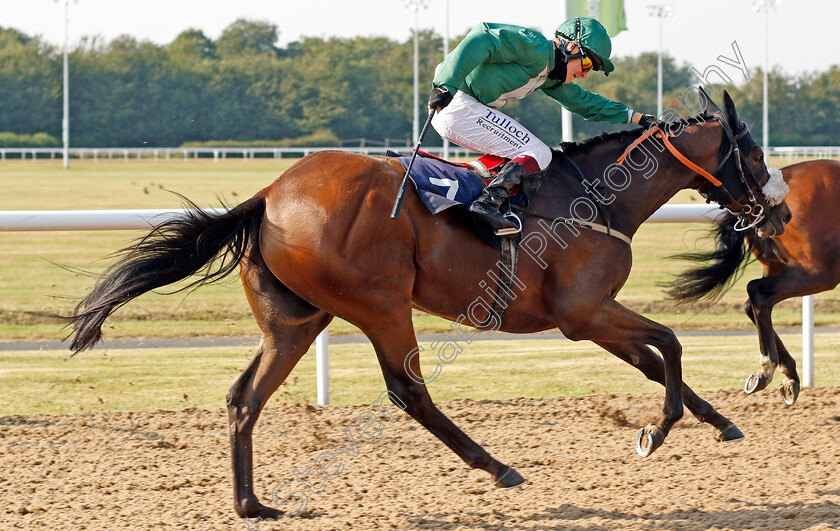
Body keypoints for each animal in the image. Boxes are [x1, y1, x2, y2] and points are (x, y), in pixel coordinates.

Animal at [70, 88, 788, 520]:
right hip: (382, 303)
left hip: (295, 320)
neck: (597, 195)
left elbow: (655, 359)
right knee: (407, 390)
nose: (778, 211)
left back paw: (253, 504)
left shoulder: (590, 317)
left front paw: (718, 421)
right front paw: (656, 431)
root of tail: (270, 193)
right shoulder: (581, 313)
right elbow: (669, 341)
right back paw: (497, 466)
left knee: (246, 396)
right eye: (753, 151)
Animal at [668, 160, 840, 406]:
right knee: (758, 292)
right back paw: (768, 369)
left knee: (754, 304)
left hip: (778, 265)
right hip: (819, 272)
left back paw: (788, 375)